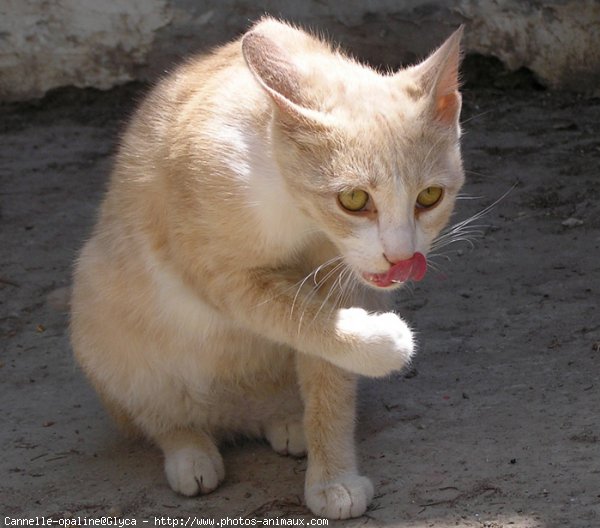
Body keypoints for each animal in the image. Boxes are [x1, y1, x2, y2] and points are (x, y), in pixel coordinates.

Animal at [69, 17, 464, 520]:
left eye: (430, 197)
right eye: (353, 199)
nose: (401, 259)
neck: (291, 203)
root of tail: (233, 415)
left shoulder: (337, 278)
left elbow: (328, 366)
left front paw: (332, 477)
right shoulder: (214, 272)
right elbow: (299, 314)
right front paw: (385, 341)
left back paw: (288, 421)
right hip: (98, 312)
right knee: (158, 417)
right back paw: (190, 453)